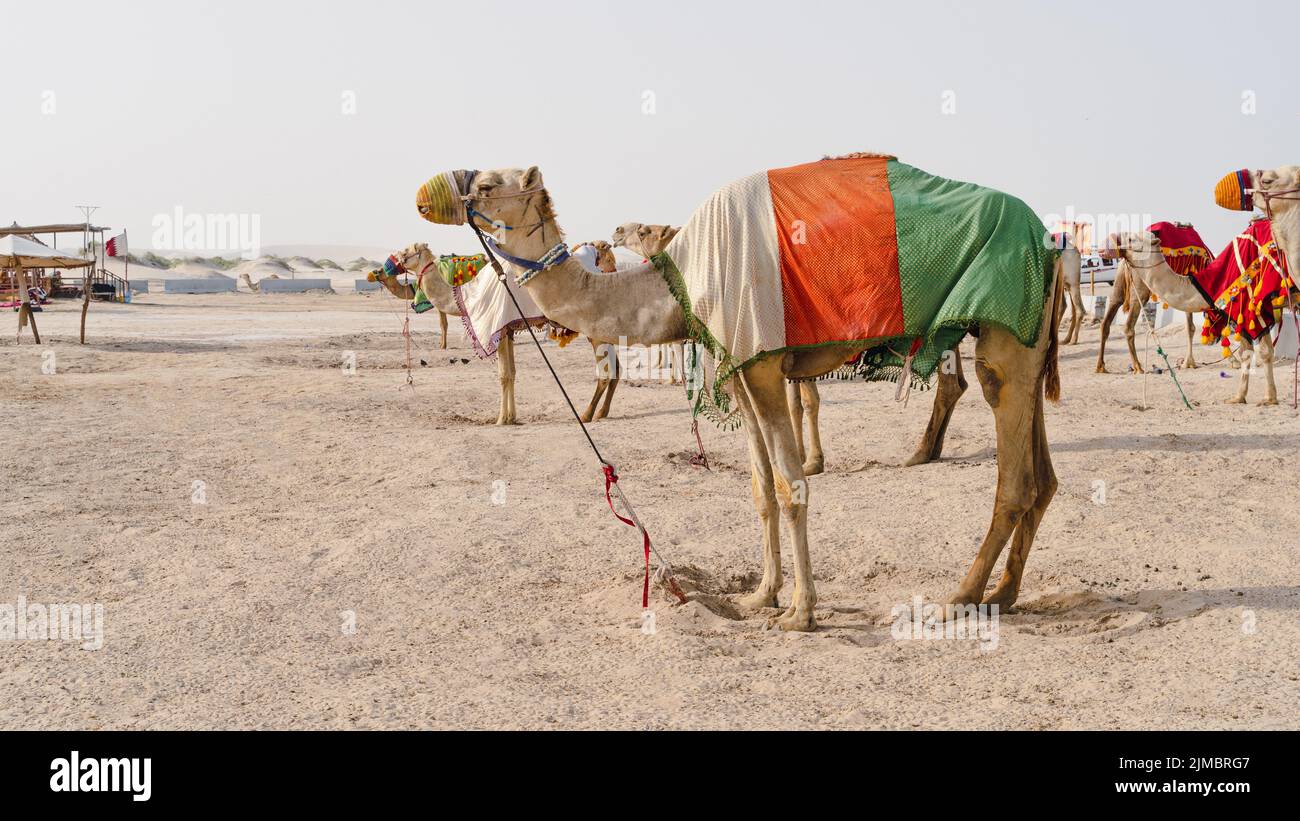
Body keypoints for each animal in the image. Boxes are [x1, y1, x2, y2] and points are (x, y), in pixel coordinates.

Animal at [432, 165, 1063, 631]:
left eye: (488, 185)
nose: (444, 192)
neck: (682, 279)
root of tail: (1049, 243)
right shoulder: (737, 368)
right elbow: (760, 488)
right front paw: (762, 595)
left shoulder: (760, 364)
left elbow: (790, 485)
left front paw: (801, 613)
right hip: (1029, 341)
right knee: (1042, 475)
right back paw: (1004, 593)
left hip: (1006, 330)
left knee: (1013, 474)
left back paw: (960, 596)